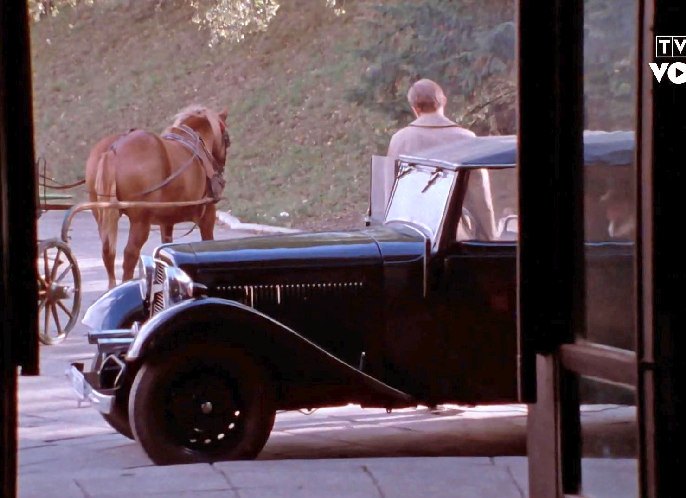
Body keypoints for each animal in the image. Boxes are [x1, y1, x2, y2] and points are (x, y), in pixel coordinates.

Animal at [85, 107, 231, 290]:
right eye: (227, 140)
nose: (220, 171)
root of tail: (113, 149)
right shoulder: (207, 216)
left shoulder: (166, 221)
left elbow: (165, 246)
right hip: (140, 222)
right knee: (130, 255)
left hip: (102, 216)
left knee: (107, 252)